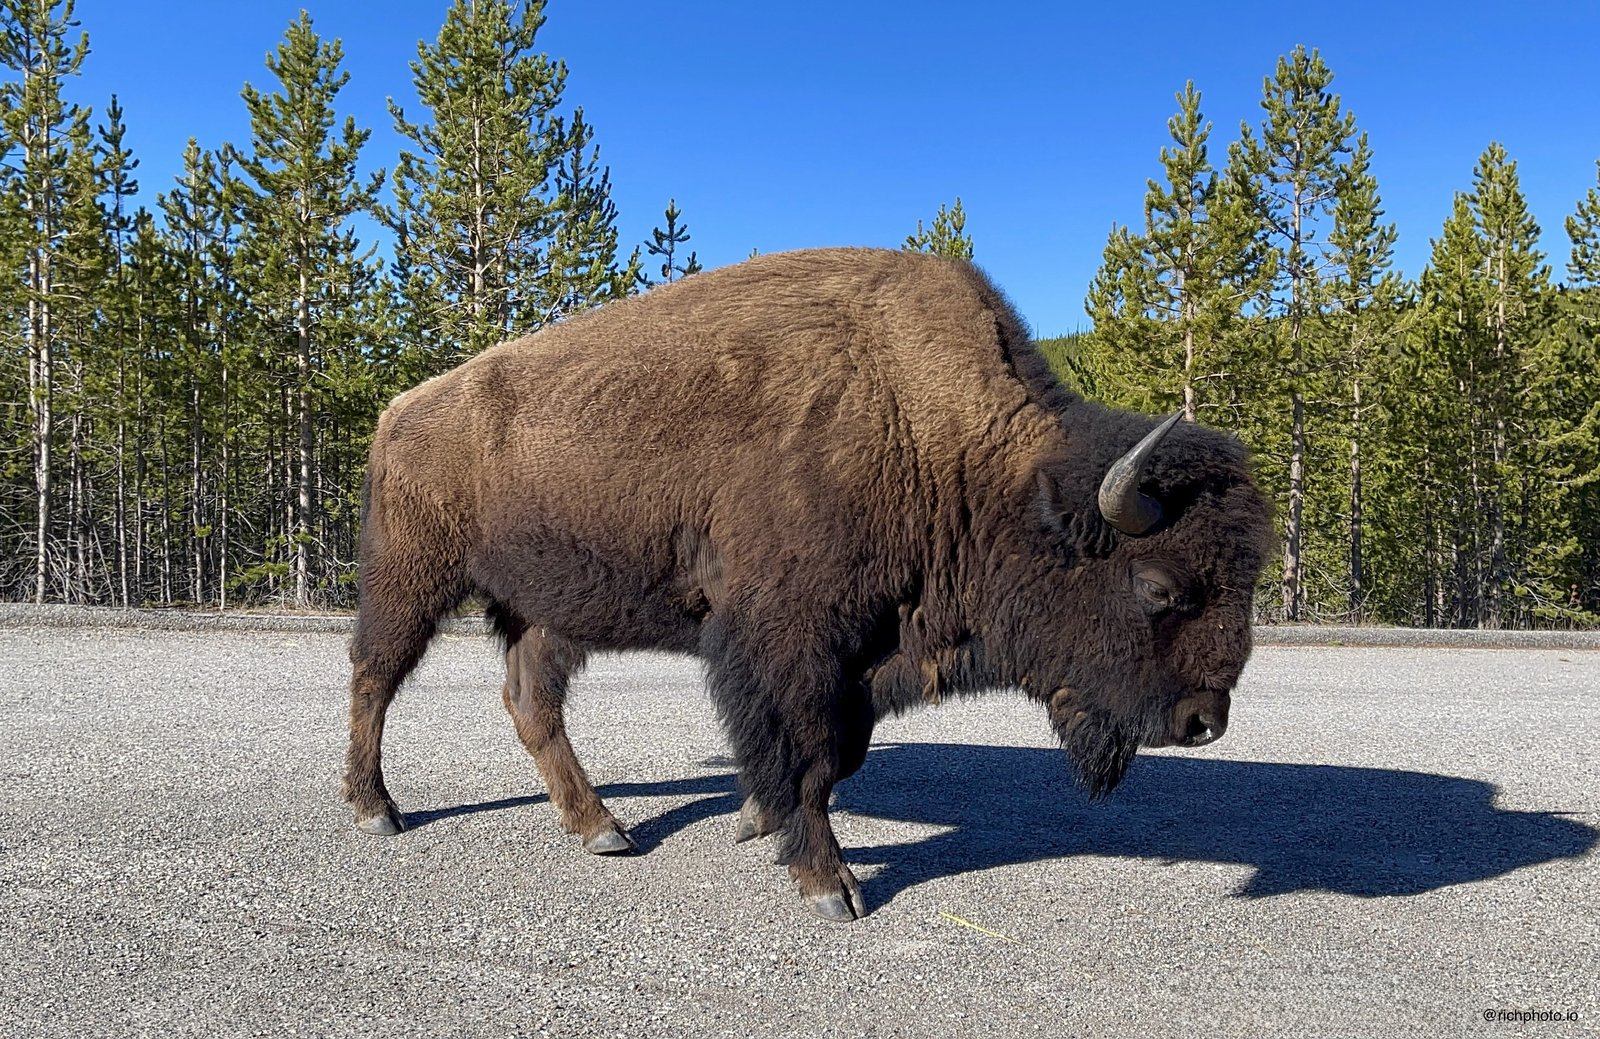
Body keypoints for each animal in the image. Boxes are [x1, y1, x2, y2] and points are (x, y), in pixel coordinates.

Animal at [342, 247, 1273, 921]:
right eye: (1158, 585)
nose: (1204, 721)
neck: (950, 450)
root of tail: (400, 410)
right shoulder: (795, 642)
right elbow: (812, 753)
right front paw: (832, 886)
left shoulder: (862, 653)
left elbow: (834, 755)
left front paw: (755, 820)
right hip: (412, 577)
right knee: (375, 677)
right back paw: (376, 809)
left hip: (549, 608)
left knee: (531, 701)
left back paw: (603, 829)